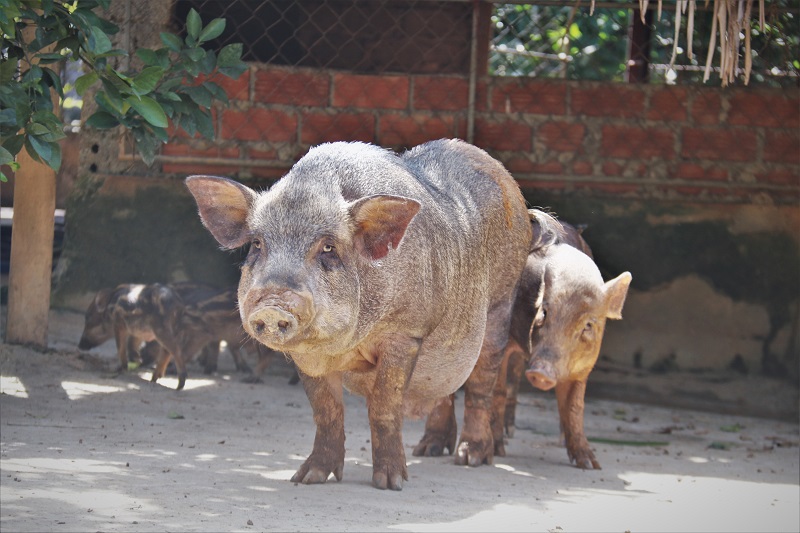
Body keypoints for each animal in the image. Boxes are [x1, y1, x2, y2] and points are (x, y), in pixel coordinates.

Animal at [186, 138, 532, 490]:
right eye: (257, 244)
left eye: (328, 248)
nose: (272, 305)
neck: (341, 345)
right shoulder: (307, 357)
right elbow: (325, 410)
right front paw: (307, 478)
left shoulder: (404, 332)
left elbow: (384, 406)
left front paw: (391, 484)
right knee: (444, 388)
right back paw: (428, 450)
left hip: (501, 304)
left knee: (481, 384)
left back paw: (473, 458)